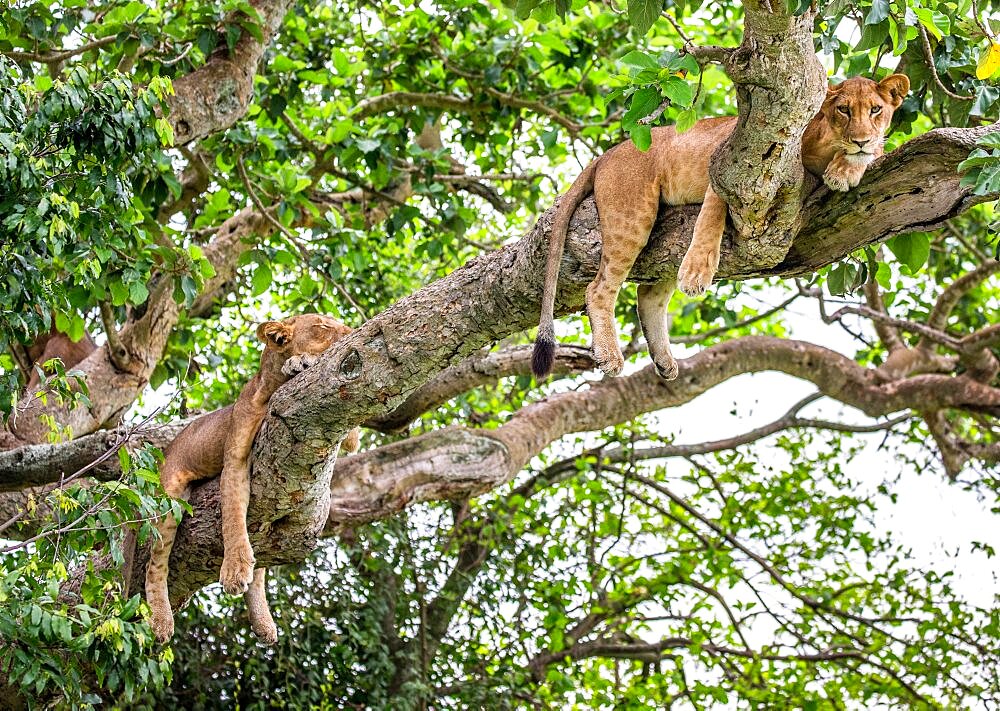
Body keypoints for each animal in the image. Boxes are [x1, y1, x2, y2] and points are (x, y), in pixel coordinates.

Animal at [143, 314, 358, 644]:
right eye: (323, 327)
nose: (355, 330)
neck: (270, 387)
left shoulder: (346, 436)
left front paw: (300, 362)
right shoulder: (235, 460)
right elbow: (232, 518)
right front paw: (234, 570)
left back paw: (264, 624)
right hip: (169, 499)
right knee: (154, 565)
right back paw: (161, 621)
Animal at [536, 74, 912, 382]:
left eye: (876, 110)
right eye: (844, 110)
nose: (861, 139)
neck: (826, 143)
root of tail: (608, 153)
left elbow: (873, 153)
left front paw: (846, 169)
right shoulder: (728, 163)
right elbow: (711, 217)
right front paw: (696, 272)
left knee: (648, 296)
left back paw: (664, 362)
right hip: (633, 215)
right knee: (599, 288)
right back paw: (611, 356)